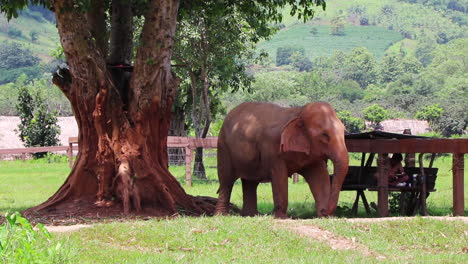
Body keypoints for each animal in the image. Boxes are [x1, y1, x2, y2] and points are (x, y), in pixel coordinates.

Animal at [215, 101, 348, 219]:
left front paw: (324, 217)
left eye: (344, 131)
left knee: (250, 182)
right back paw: (221, 215)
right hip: (223, 147)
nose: (325, 210)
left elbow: (320, 178)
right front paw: (282, 217)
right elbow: (279, 177)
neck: (299, 112)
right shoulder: (273, 150)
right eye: (324, 135)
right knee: (226, 180)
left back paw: (251, 215)